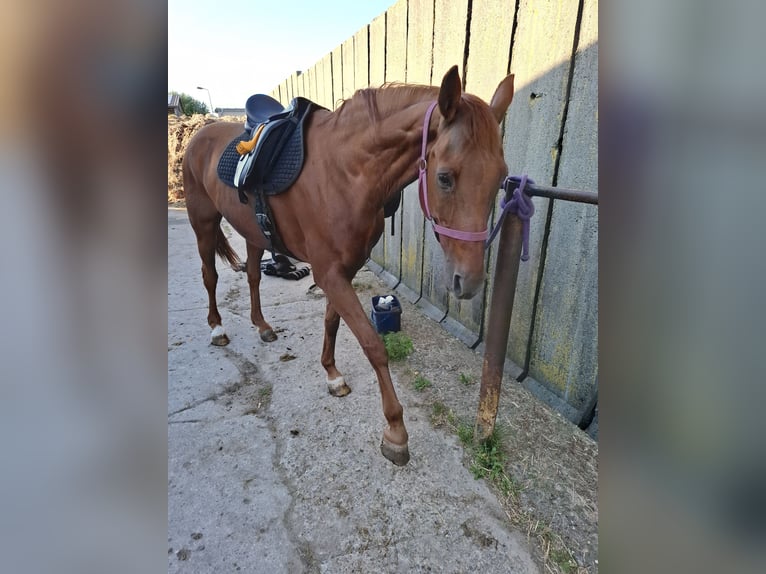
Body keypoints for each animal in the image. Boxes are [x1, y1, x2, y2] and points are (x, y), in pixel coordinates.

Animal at [182, 65, 512, 466]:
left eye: (500, 178)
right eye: (444, 176)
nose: (471, 281)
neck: (348, 171)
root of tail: (201, 135)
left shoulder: (342, 271)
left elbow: (332, 322)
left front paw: (332, 374)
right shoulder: (329, 273)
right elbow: (372, 343)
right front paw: (395, 431)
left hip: (252, 232)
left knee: (253, 277)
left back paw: (262, 326)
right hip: (203, 222)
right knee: (210, 276)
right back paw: (217, 329)